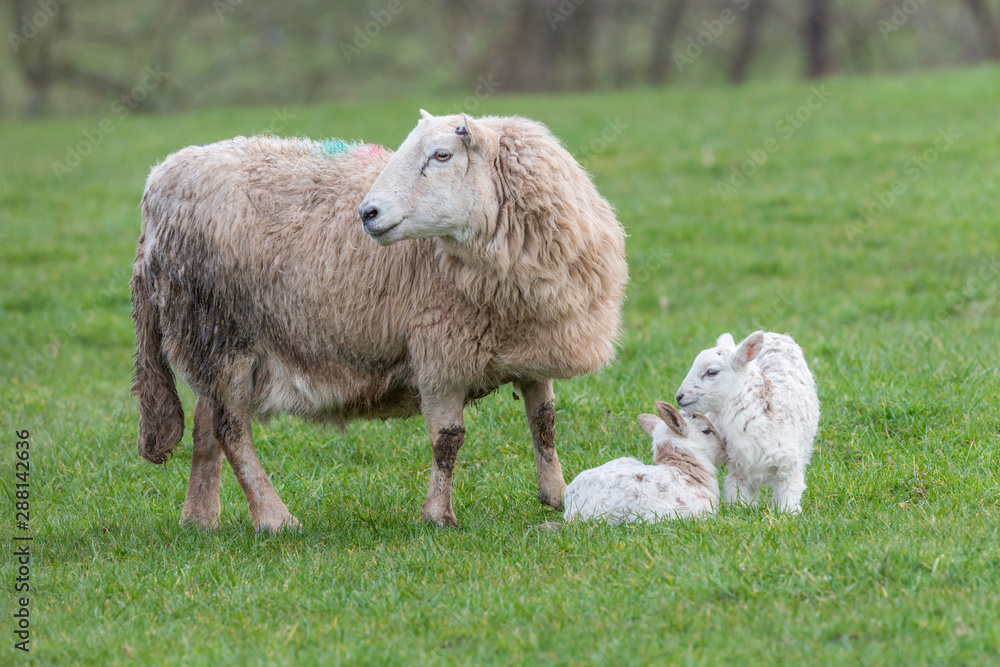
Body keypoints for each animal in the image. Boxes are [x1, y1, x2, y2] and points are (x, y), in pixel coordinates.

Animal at [131, 110, 628, 531]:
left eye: (442, 155)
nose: (366, 214)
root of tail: (158, 183)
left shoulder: (531, 345)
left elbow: (544, 423)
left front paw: (556, 495)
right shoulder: (439, 351)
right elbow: (448, 439)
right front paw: (437, 516)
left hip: (208, 339)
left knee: (206, 424)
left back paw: (200, 518)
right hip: (218, 331)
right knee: (231, 430)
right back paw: (274, 518)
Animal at [675, 331, 820, 514]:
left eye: (711, 372)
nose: (679, 397)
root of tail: (772, 333)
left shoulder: (789, 467)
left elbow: (788, 501)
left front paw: (788, 514)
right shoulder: (738, 468)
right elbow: (739, 499)